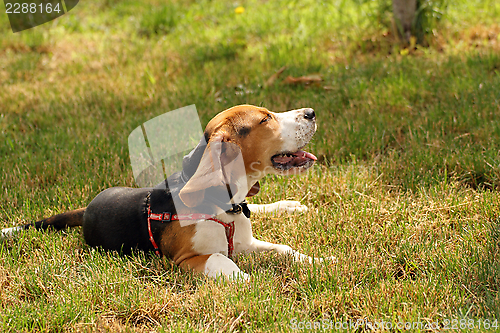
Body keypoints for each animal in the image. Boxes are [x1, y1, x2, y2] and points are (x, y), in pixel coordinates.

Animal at [1, 105, 322, 278]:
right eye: (265, 119)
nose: (311, 112)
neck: (226, 207)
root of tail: (89, 206)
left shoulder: (246, 242)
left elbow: (285, 249)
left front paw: (318, 262)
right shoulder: (188, 259)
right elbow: (222, 260)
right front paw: (247, 282)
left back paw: (288, 205)